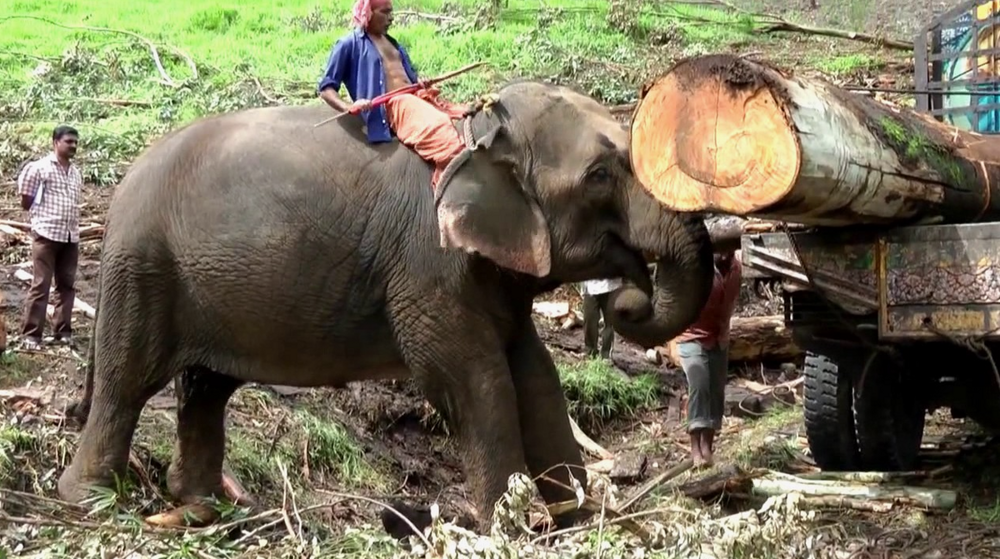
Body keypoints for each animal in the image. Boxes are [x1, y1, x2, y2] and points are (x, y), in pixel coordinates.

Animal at [58, 81, 716, 536]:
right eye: (600, 175)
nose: (631, 292)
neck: (477, 130)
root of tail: (119, 188)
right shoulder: (428, 263)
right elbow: (470, 378)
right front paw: (510, 527)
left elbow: (535, 374)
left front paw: (574, 519)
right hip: (143, 267)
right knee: (128, 381)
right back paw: (91, 499)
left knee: (205, 386)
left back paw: (206, 509)